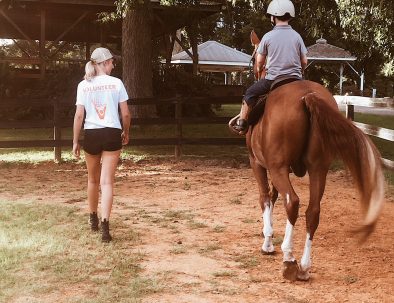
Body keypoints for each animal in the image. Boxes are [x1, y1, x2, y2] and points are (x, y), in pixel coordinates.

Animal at [240, 31, 384, 282]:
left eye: (254, 57)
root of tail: (308, 97)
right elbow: (273, 196)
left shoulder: (258, 163)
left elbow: (265, 197)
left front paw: (267, 242)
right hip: (318, 169)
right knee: (312, 211)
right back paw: (305, 267)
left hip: (279, 168)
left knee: (292, 202)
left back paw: (289, 259)